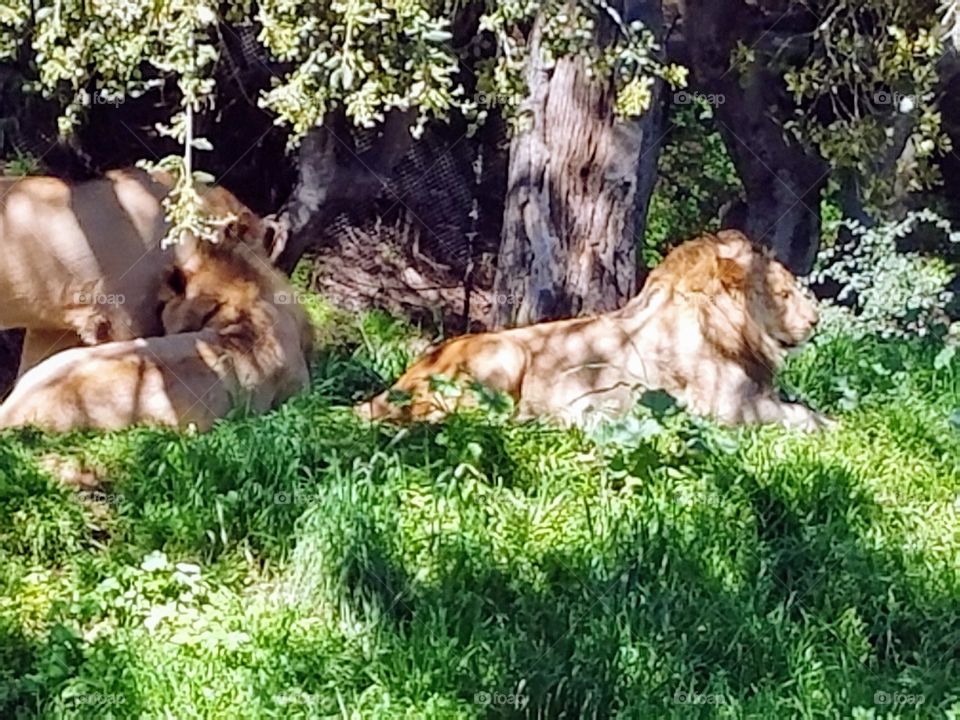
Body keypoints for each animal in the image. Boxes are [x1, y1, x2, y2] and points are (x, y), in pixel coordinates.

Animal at [356, 231, 833, 430]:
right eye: (783, 293)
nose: (815, 321)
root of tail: (391, 387)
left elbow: (804, 407)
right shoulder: (725, 411)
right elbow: (798, 415)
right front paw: (831, 427)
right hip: (505, 356)